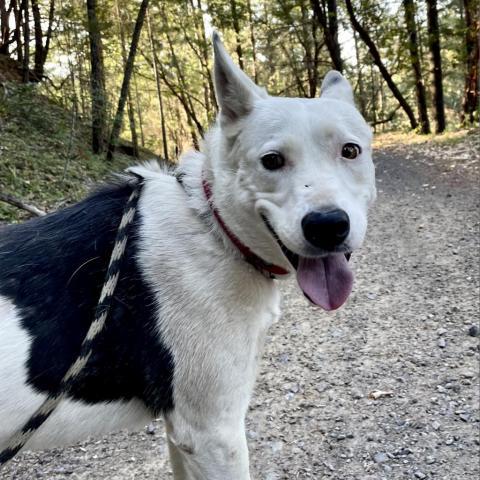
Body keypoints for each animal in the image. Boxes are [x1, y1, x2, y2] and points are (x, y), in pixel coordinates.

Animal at [0, 34, 376, 480]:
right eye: (271, 161)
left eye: (350, 151)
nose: (327, 225)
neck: (213, 227)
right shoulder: (212, 433)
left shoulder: (181, 430)